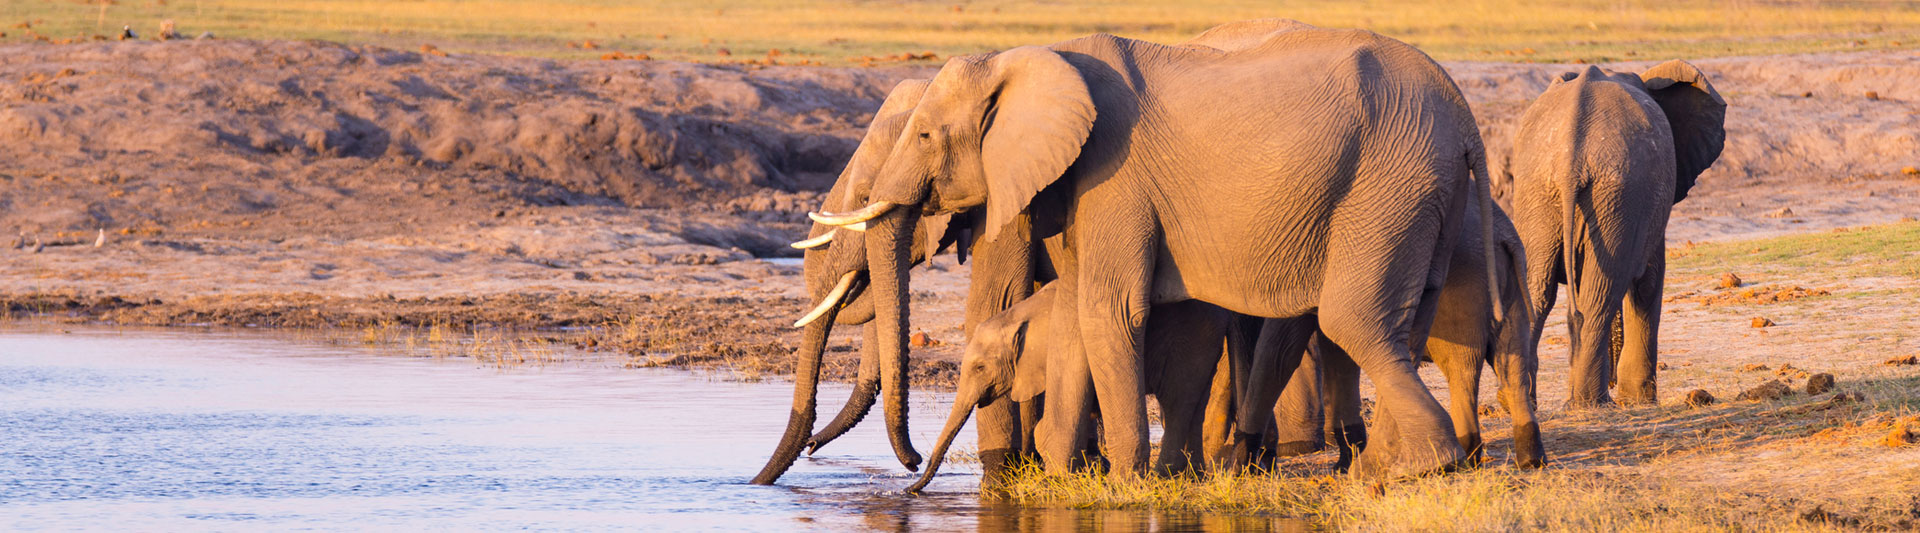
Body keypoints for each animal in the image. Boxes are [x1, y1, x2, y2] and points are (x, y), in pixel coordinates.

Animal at [907, 281, 1234, 491]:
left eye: (979, 367)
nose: (911, 480)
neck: (1020, 314)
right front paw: (1093, 467)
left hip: (1192, 340)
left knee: (1177, 401)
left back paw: (1167, 476)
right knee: (1196, 404)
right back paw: (1193, 476)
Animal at [1507, 60, 1726, 409]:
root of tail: (1571, 157)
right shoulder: (1645, 206)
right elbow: (1648, 280)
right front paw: (1639, 400)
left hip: (1540, 191)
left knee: (1539, 289)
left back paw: (1533, 405)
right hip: (1619, 192)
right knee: (1602, 293)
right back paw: (1593, 403)